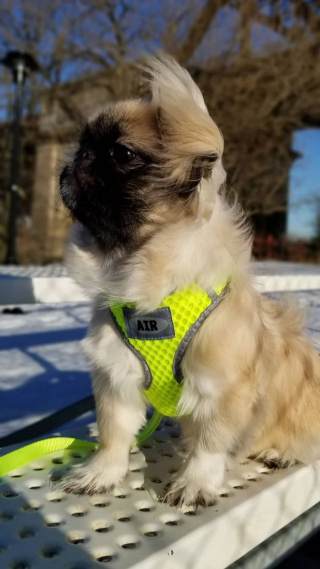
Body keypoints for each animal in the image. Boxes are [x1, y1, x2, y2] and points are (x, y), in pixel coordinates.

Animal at [58, 56, 320, 506]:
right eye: (84, 146)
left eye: (121, 153)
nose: (80, 156)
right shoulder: (115, 378)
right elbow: (113, 435)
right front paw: (101, 475)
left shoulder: (224, 388)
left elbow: (210, 445)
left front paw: (195, 484)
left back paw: (280, 451)